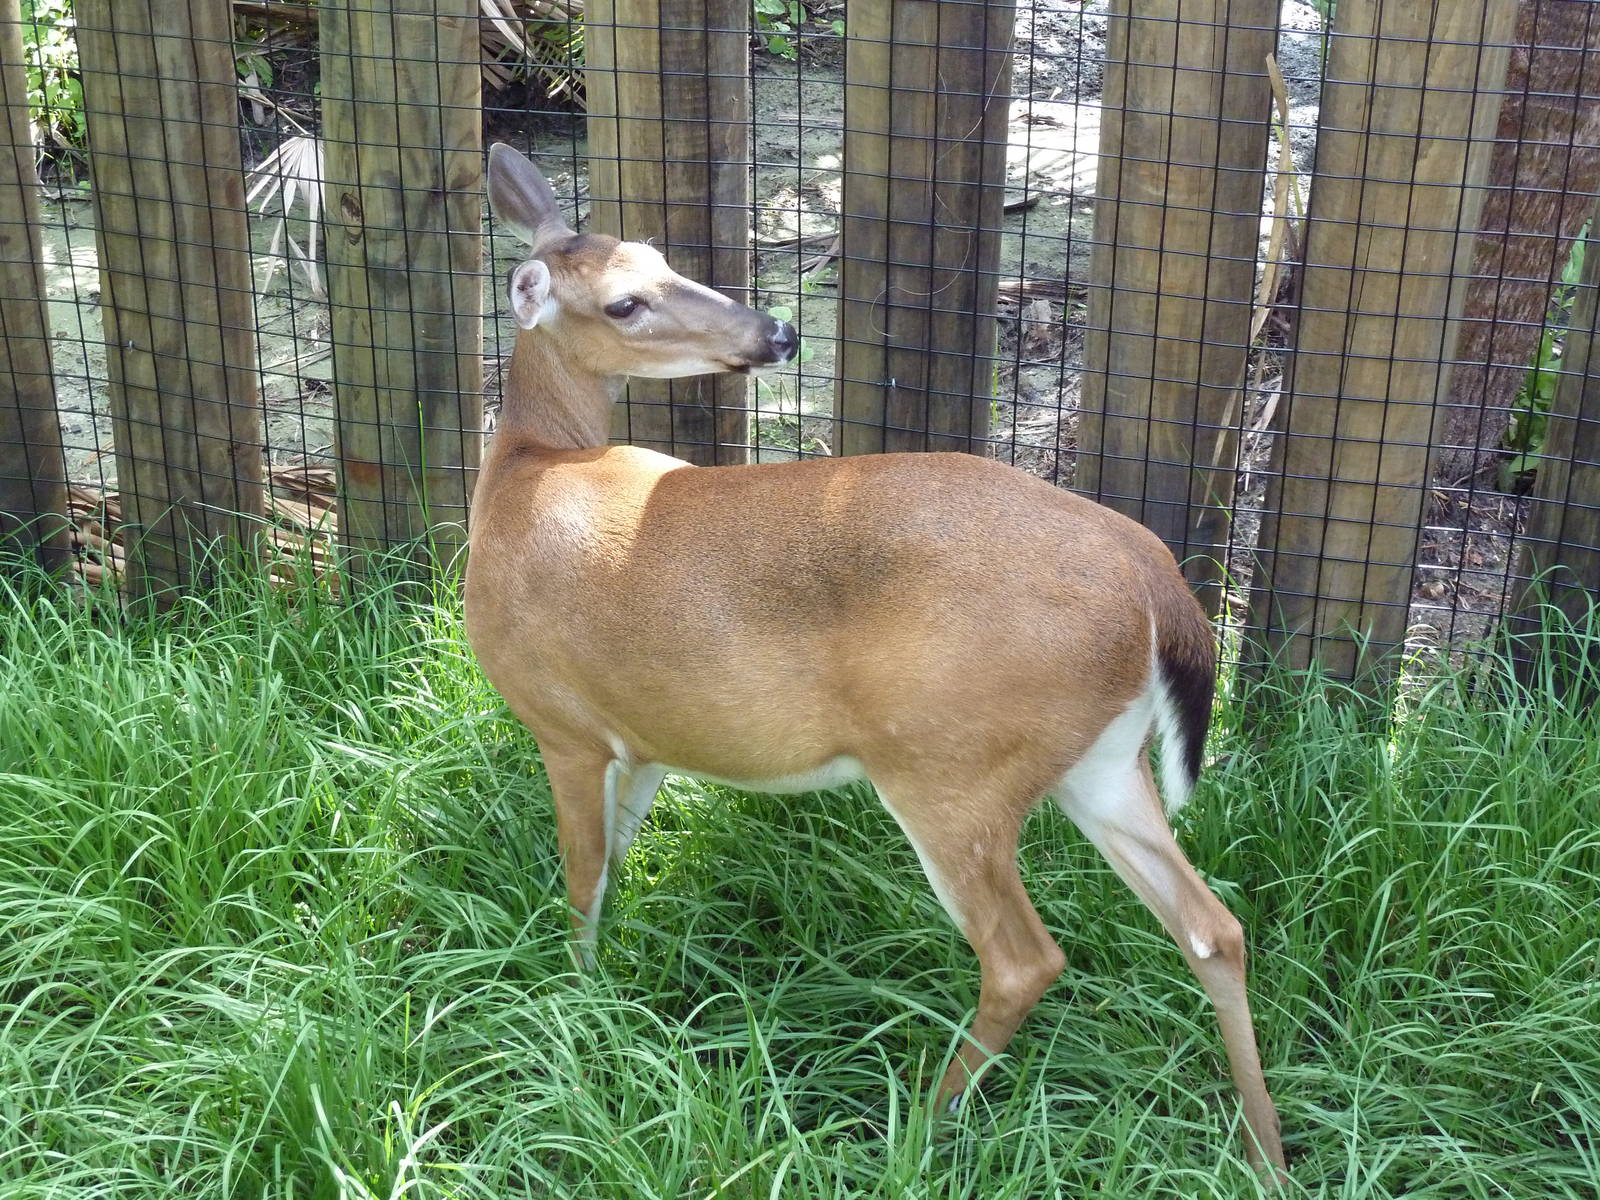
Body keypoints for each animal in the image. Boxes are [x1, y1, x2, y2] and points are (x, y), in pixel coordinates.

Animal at [464, 142, 1287, 1180]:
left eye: (655, 269)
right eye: (626, 296)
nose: (776, 330)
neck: (525, 475)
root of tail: (1154, 580)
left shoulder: (563, 724)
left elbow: (580, 881)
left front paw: (571, 1004)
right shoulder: (642, 742)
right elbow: (612, 865)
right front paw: (597, 996)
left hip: (950, 766)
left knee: (1026, 958)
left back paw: (918, 1128)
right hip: (1100, 759)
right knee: (1214, 928)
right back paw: (1266, 1153)